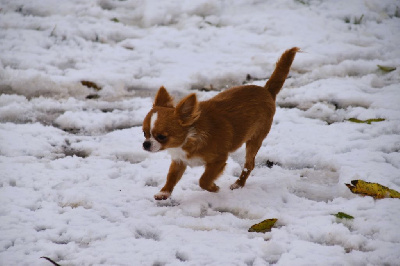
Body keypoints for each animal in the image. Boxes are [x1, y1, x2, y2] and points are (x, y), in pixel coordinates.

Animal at [142, 47, 298, 200]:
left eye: (161, 137)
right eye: (144, 133)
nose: (146, 144)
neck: (189, 138)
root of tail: (266, 90)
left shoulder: (218, 160)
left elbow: (203, 180)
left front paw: (214, 188)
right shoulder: (179, 161)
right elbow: (171, 177)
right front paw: (164, 192)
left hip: (255, 139)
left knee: (249, 164)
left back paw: (238, 184)